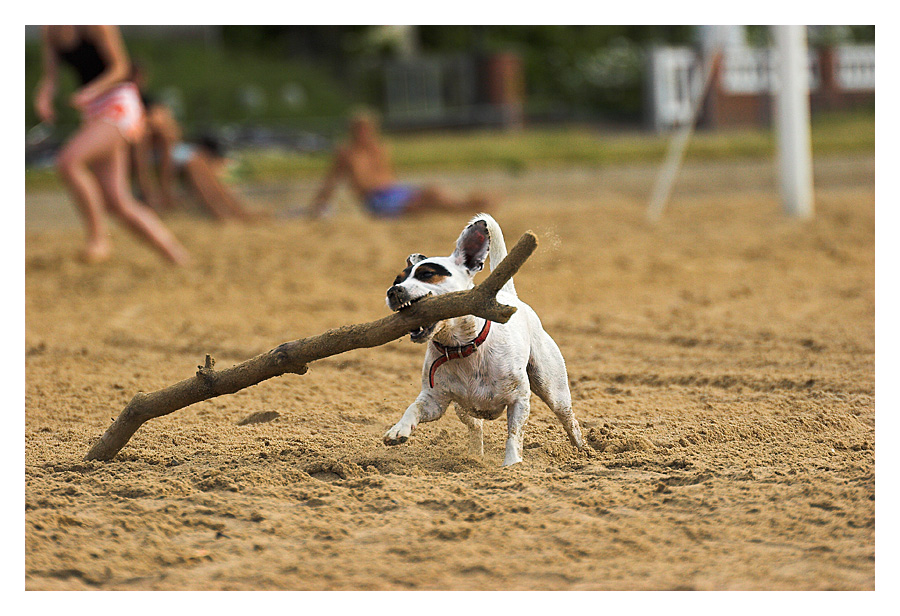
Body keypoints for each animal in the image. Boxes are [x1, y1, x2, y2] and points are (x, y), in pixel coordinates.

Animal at [384, 214, 584, 464]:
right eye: (396, 280)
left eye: (427, 274)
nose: (393, 291)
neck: (461, 346)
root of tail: (508, 295)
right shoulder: (434, 401)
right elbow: (414, 407)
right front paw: (398, 429)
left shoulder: (519, 399)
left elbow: (514, 435)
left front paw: (512, 465)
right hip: (463, 408)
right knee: (475, 428)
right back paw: (474, 457)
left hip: (552, 388)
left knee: (569, 419)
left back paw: (583, 451)